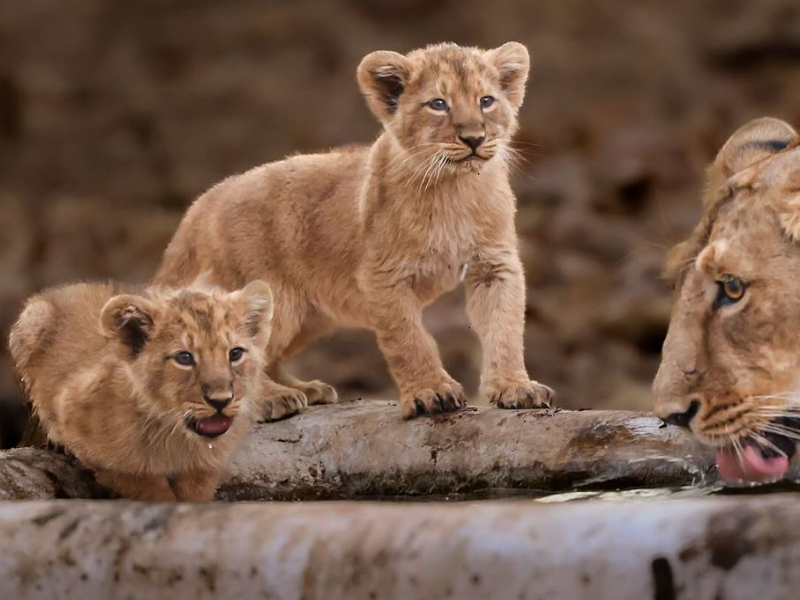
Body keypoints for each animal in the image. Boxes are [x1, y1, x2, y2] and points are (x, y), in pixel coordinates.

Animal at [8, 280, 273, 501]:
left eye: (235, 353)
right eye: (184, 358)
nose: (221, 400)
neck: (176, 437)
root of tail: (64, 288)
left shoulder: (205, 467)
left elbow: (195, 491)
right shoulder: (72, 408)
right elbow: (145, 483)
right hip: (35, 316)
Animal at [154, 42, 555, 420]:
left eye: (486, 101)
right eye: (438, 104)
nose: (474, 138)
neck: (453, 187)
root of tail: (205, 199)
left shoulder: (494, 266)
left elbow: (505, 329)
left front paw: (515, 387)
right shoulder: (382, 277)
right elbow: (409, 340)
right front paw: (432, 393)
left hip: (307, 317)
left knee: (268, 357)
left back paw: (306, 389)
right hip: (268, 296)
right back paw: (273, 399)